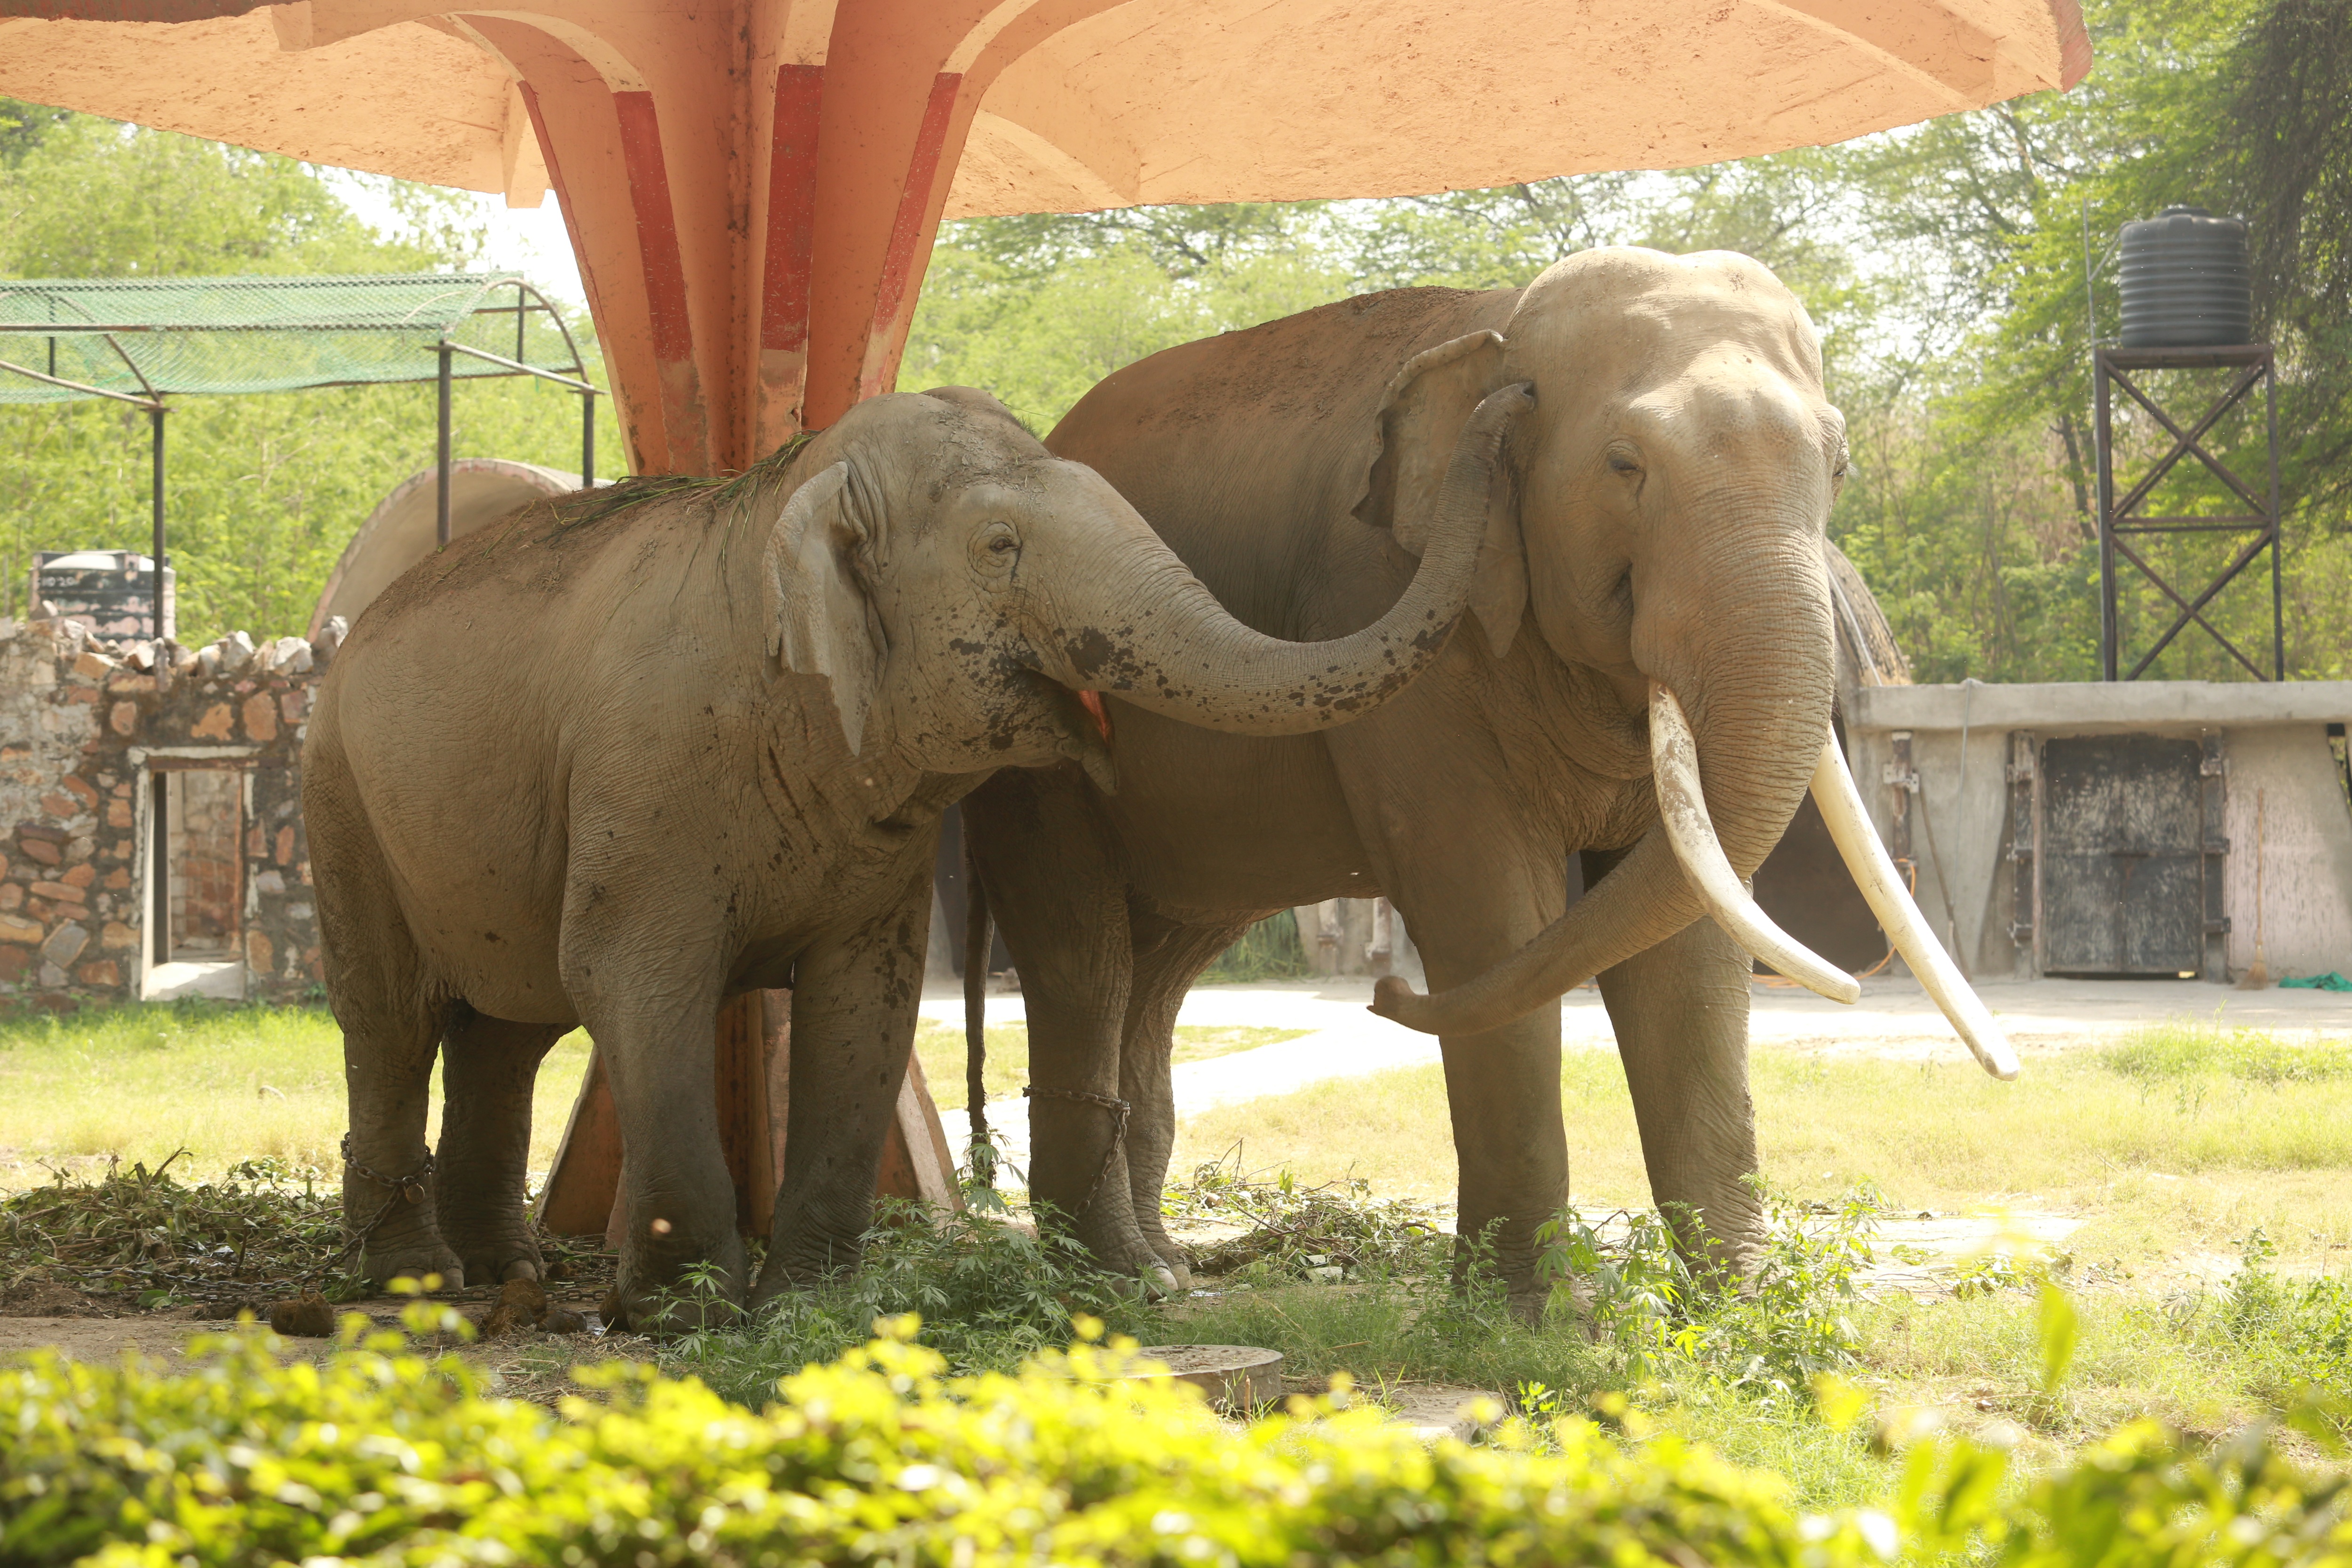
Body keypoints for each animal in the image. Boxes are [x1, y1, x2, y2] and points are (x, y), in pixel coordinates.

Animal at [303, 381, 1529, 1328]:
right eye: (999, 548)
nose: (1506, 401)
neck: (775, 502)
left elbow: (868, 1005)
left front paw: (810, 1307)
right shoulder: (644, 777)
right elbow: (636, 982)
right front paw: (681, 1313)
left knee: (505, 1029)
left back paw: (500, 1268)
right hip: (340, 798)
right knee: (393, 1020)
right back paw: (413, 1281)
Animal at [960, 247, 2013, 1306]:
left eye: (1837, 468)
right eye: (1625, 466)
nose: (1382, 991)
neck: (1505, 320)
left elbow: (1688, 935)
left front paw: (1738, 1305)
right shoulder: (1395, 622)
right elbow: (1490, 911)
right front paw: (1527, 1315)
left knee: (1165, 959)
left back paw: (1163, 1266)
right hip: (1027, 736)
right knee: (1086, 953)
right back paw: (1114, 1283)